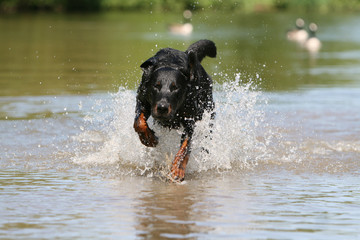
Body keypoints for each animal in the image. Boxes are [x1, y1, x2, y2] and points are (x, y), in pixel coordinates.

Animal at [133, 39, 215, 182]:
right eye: (156, 86)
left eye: (175, 87)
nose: (162, 108)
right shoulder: (142, 99)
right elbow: (139, 122)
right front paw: (148, 138)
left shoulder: (190, 120)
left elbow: (185, 147)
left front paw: (177, 169)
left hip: (208, 113)